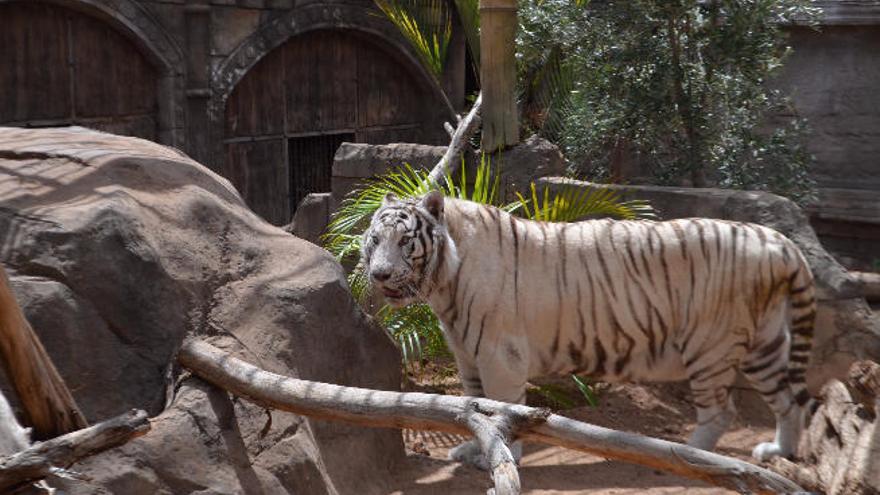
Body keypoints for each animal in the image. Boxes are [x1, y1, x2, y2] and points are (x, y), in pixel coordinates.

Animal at [360, 191, 816, 468]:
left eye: (405, 242)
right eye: (375, 239)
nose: (379, 275)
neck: (443, 285)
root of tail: (778, 240)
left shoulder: (498, 353)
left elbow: (502, 404)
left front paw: (505, 452)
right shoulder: (467, 353)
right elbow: (475, 404)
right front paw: (474, 448)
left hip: (710, 344)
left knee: (722, 411)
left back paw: (689, 457)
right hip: (764, 343)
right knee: (788, 401)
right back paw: (780, 450)